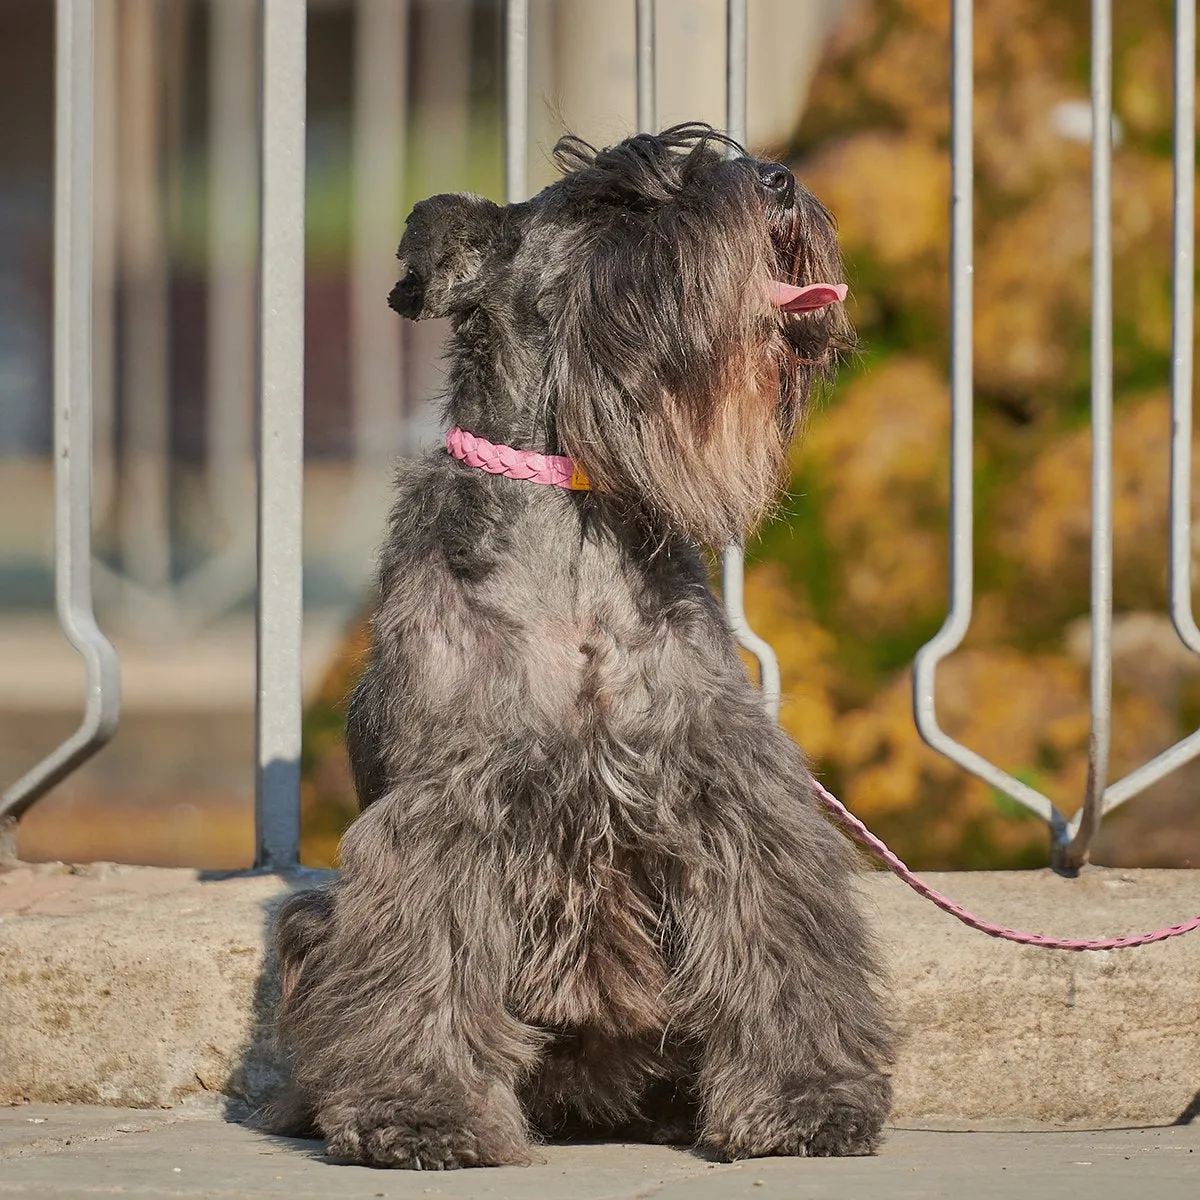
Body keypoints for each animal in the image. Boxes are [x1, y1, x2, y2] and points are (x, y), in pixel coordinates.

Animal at [267, 126, 897, 1166]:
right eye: (615, 205)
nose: (778, 181)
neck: (576, 519)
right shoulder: (446, 812)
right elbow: (425, 960)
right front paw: (421, 1113)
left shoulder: (729, 793)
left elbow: (778, 942)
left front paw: (809, 1098)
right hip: (318, 924)